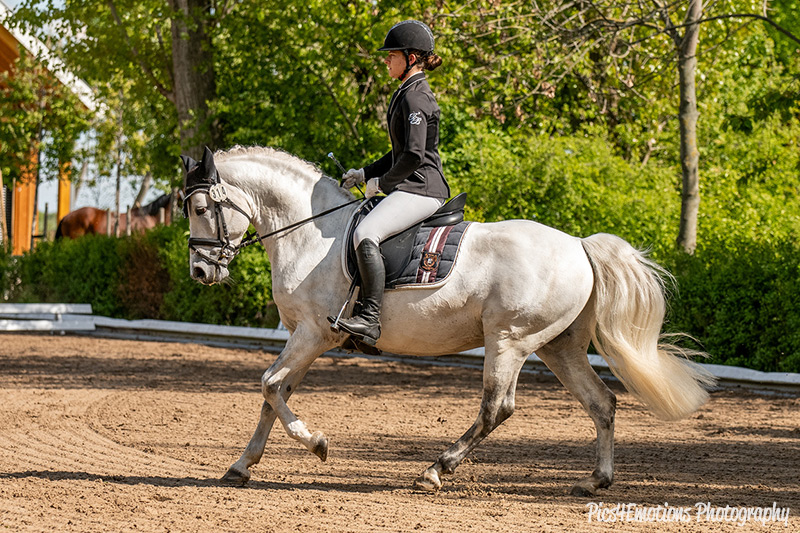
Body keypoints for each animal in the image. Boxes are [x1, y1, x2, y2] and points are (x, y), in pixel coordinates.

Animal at [183, 145, 720, 494]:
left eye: (200, 206)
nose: (201, 271)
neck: (312, 232)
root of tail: (579, 245)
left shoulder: (315, 334)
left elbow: (270, 385)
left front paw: (317, 444)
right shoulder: (302, 336)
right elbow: (274, 394)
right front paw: (241, 466)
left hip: (509, 340)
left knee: (497, 408)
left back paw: (436, 470)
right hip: (559, 346)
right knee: (602, 402)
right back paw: (596, 480)